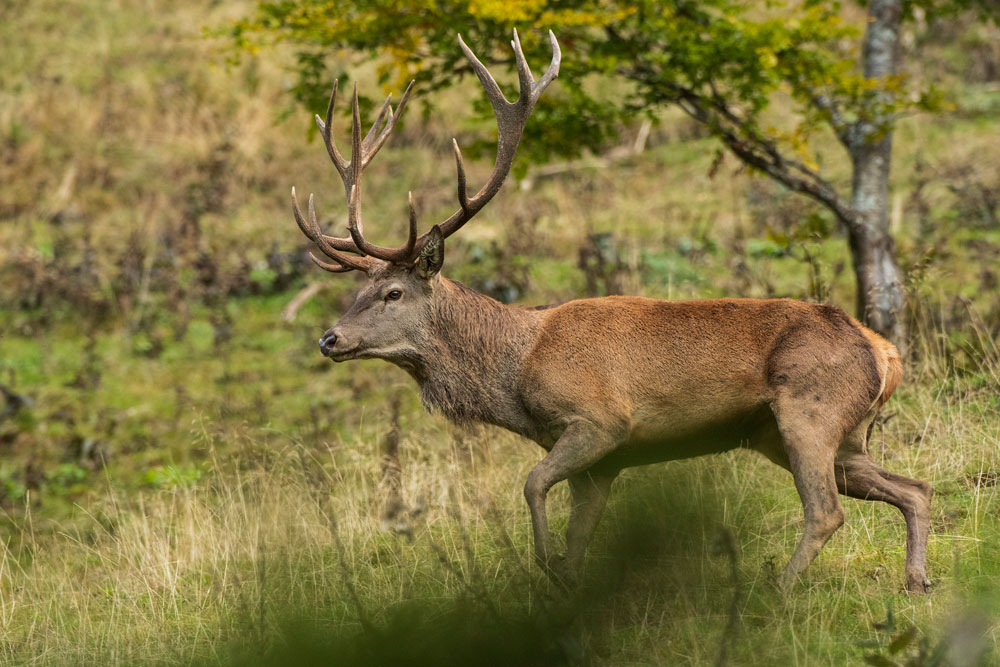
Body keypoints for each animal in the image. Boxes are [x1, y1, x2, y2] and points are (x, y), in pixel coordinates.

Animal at [292, 30, 932, 596]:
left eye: (393, 293)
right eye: (358, 291)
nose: (329, 339)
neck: (515, 372)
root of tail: (885, 352)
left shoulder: (600, 421)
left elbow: (531, 484)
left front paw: (546, 563)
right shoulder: (600, 466)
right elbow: (580, 538)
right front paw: (567, 585)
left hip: (809, 409)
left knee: (826, 511)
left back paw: (777, 589)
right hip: (823, 433)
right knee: (914, 487)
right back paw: (916, 581)